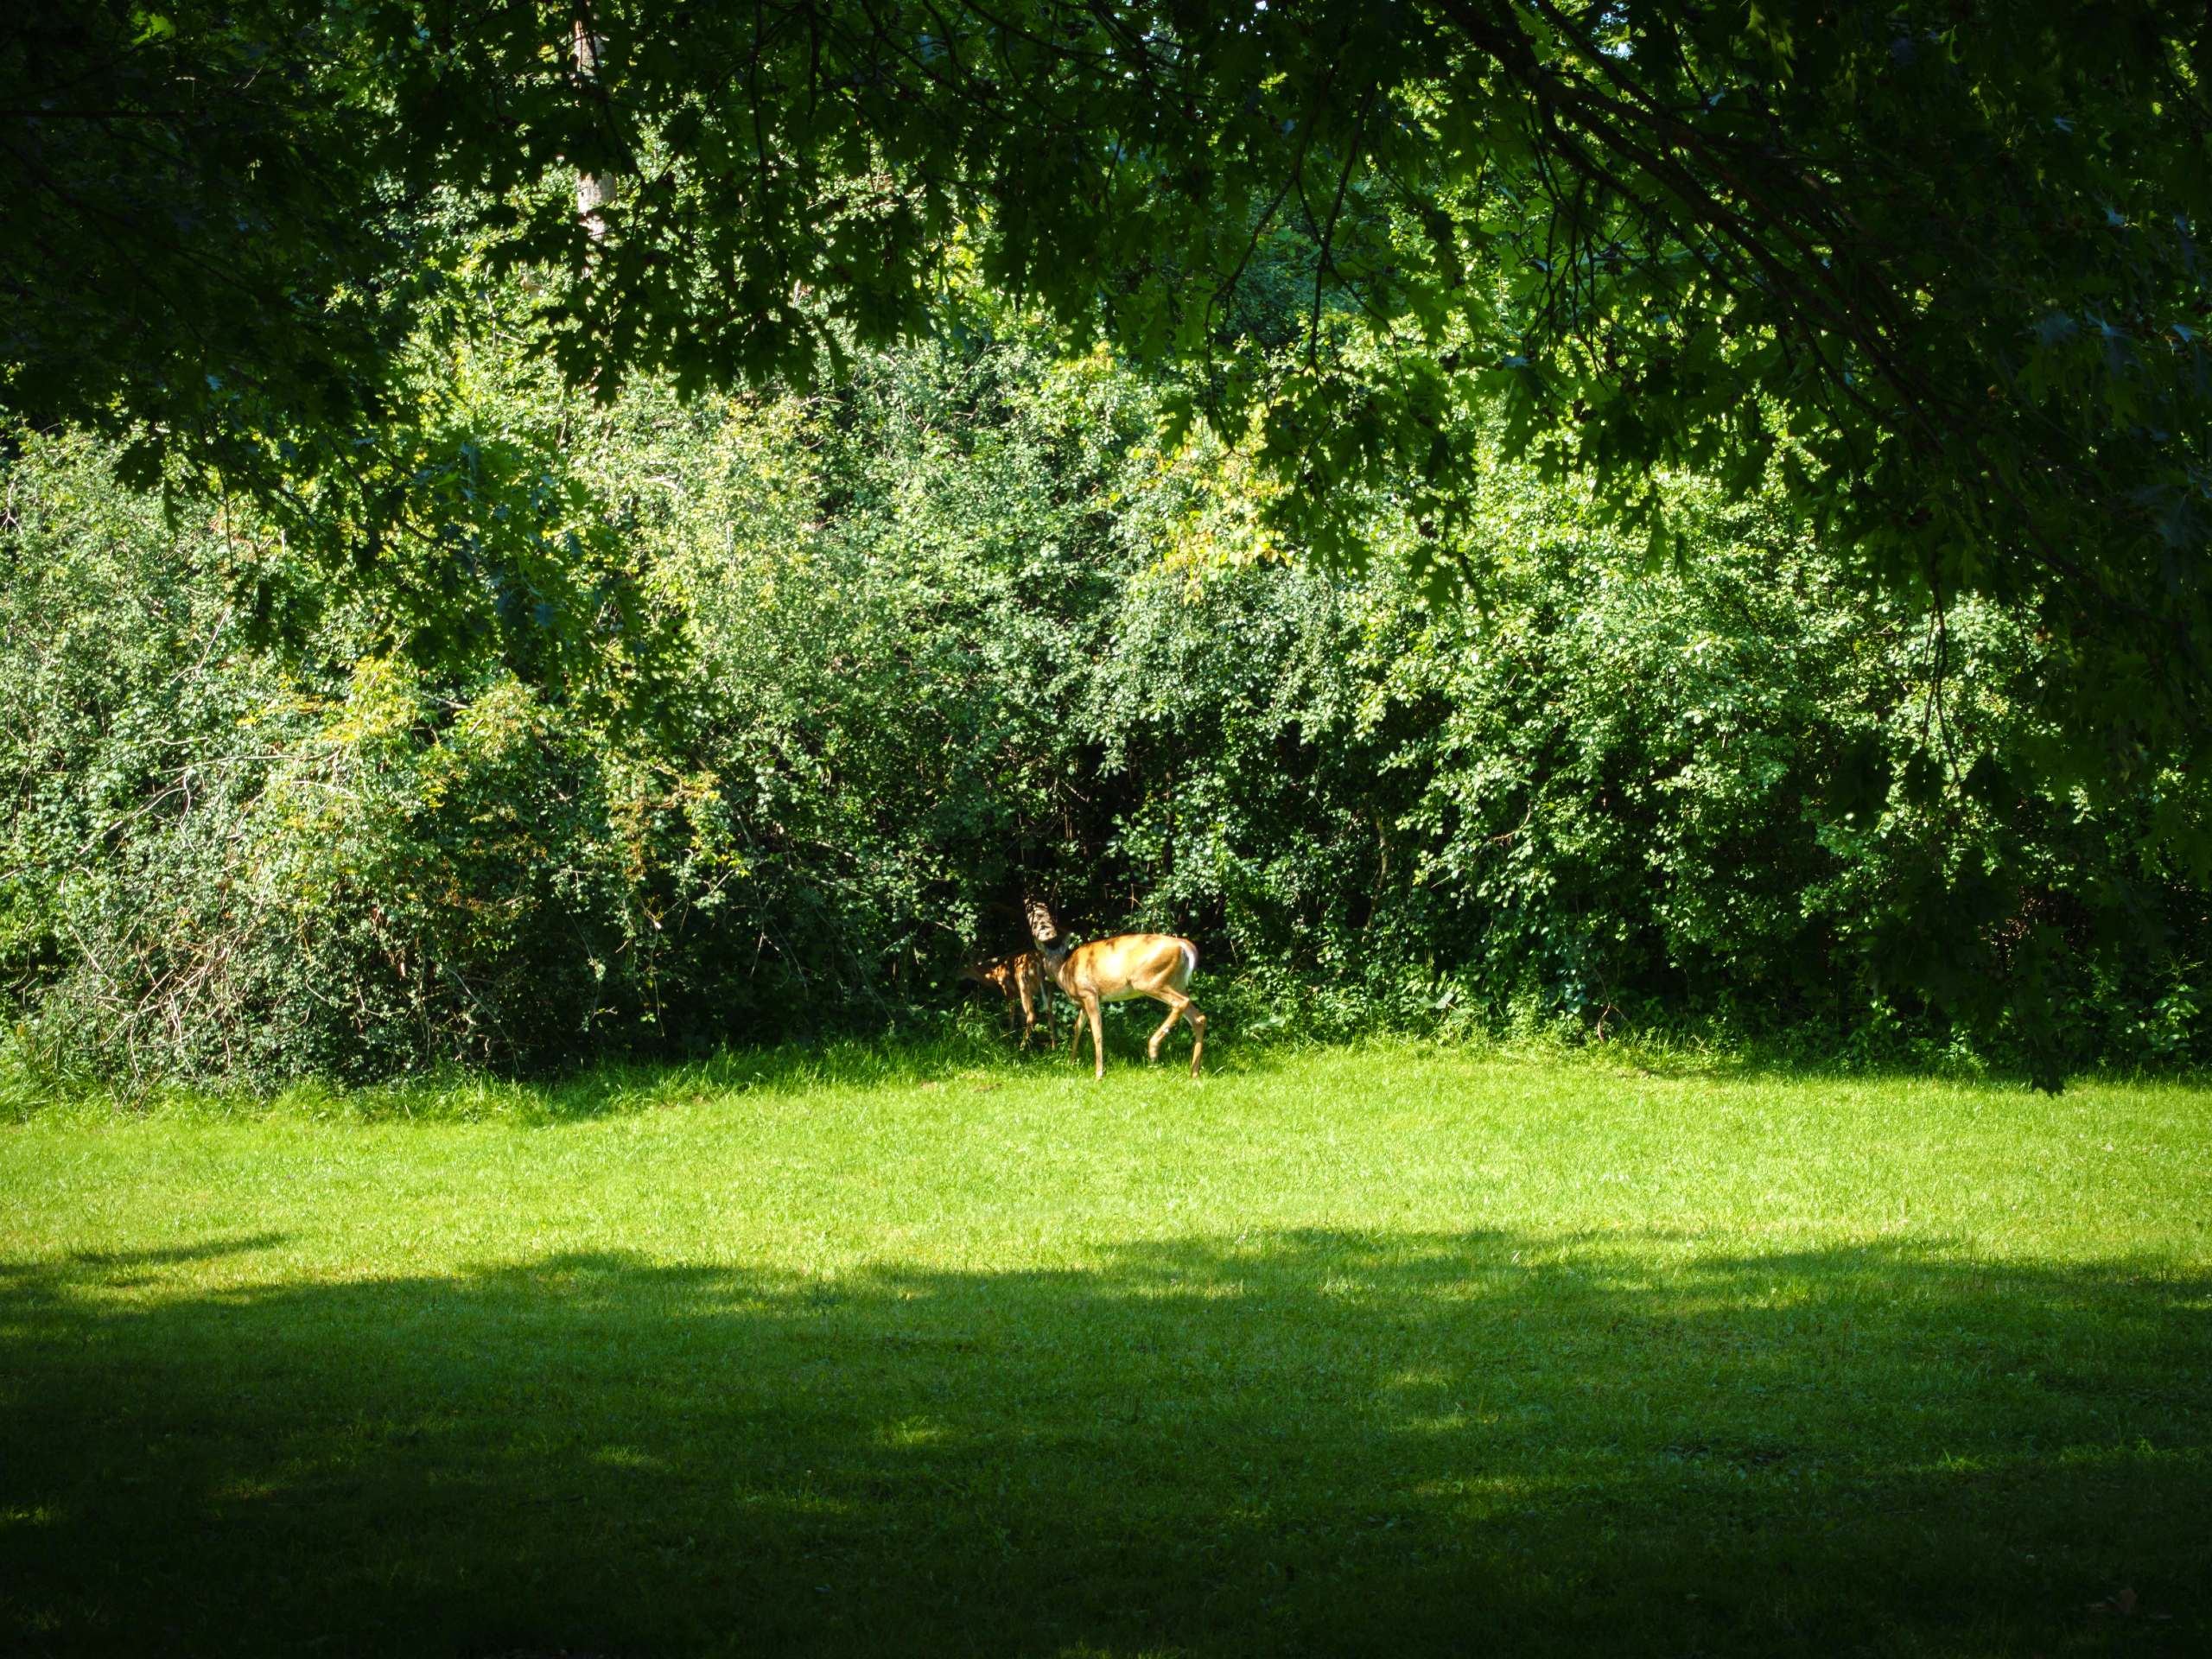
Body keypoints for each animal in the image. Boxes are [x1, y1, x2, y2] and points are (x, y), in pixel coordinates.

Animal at [1021, 902, 1211, 1084]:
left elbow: (1097, 1032)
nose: (1046, 976)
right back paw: (1194, 1073)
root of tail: (1184, 945)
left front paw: (1099, 1074)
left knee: (1180, 1003)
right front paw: (1071, 1063)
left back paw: (1153, 1049)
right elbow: (1077, 1027)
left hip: (1148, 980)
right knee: (1198, 1017)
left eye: (1042, 956)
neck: (1064, 971)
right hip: (1177, 983)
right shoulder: (1084, 1001)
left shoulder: (1090, 993)